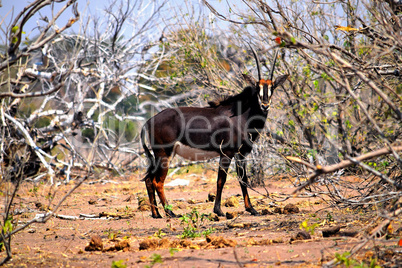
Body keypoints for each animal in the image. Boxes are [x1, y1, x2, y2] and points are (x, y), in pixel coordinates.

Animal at [140, 47, 288, 218]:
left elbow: (243, 179)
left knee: (149, 180)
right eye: (257, 88)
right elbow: (221, 180)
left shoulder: (241, 154)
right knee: (158, 181)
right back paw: (170, 212)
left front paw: (251, 209)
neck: (241, 115)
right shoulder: (227, 153)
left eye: (272, 88)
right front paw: (219, 210)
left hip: (158, 156)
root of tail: (149, 121)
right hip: (164, 154)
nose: (265, 106)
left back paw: (156, 213)